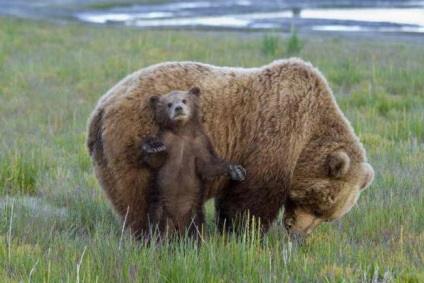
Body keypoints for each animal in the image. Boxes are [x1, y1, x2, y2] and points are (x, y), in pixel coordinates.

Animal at [87, 59, 374, 240]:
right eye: (317, 209)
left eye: (327, 217)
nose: (297, 235)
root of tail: (100, 107)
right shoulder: (276, 131)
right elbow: (254, 195)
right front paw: (246, 233)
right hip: (131, 140)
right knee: (139, 198)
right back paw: (148, 235)